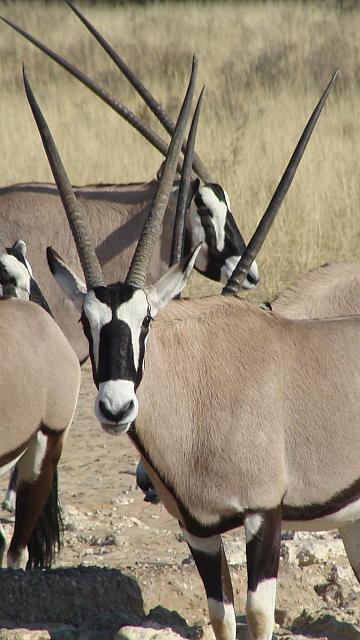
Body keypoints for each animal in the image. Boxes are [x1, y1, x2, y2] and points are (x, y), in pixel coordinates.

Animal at [26, 63, 356, 640]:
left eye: (146, 321)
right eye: (85, 323)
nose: (115, 408)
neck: (201, 379)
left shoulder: (264, 517)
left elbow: (258, 617)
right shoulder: (199, 530)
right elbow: (221, 617)